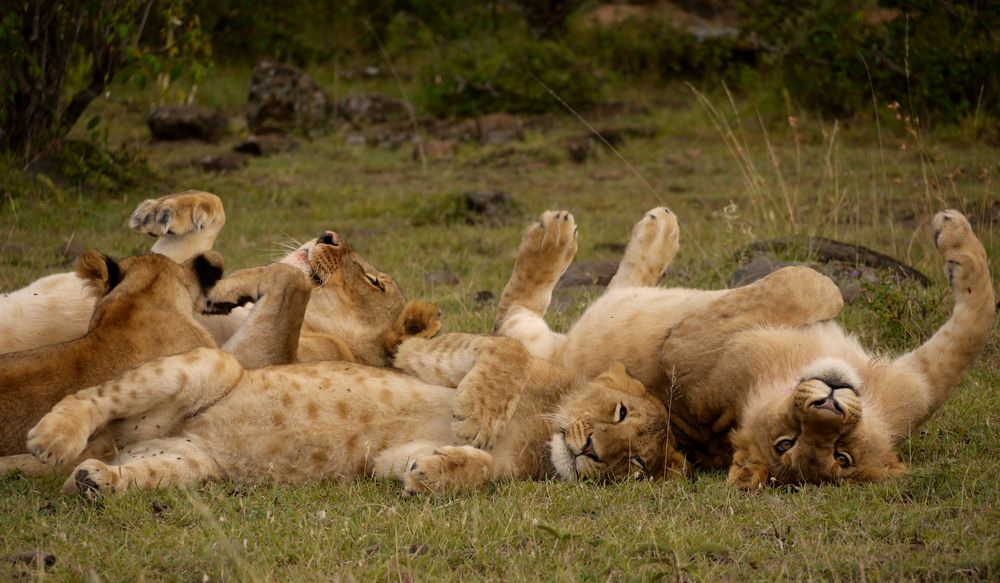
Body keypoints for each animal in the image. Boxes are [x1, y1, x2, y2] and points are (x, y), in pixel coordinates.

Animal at [492, 206, 992, 488]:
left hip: (556, 336)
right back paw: (650, 229)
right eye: (787, 440)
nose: (830, 405)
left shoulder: (681, 349)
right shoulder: (920, 387)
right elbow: (977, 319)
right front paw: (955, 234)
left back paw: (574, 236)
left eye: (840, 455)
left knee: (516, 309)